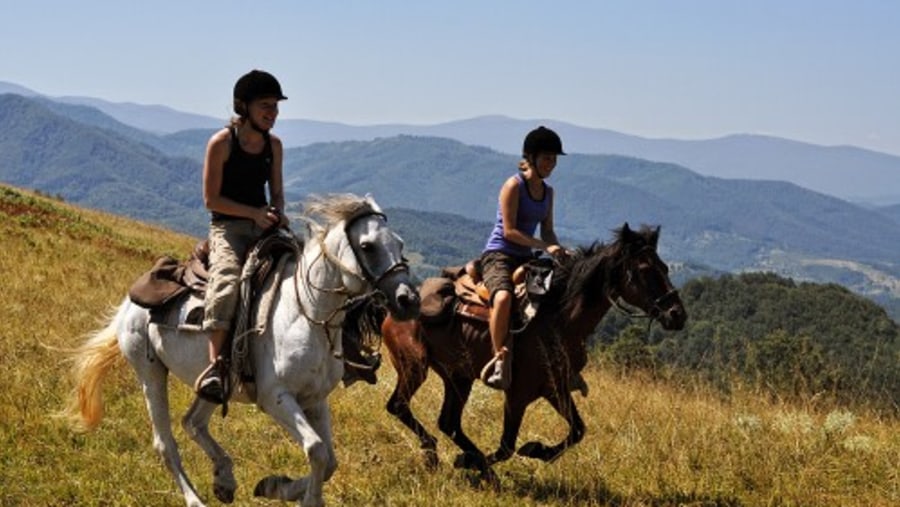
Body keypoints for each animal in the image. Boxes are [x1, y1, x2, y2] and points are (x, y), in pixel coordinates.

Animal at [63, 192, 422, 506]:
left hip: (214, 383)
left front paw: (274, 486)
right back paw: (196, 499)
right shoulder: (276, 398)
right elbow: (317, 450)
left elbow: (329, 461)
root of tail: (127, 305)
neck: (306, 312)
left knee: (193, 422)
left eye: (401, 244)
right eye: (367, 246)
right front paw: (299, 496)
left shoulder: (315, 399)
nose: (408, 300)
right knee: (166, 444)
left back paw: (224, 479)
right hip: (150, 373)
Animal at [382, 223, 688, 480]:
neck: (559, 321)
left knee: (449, 422)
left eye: (665, 267)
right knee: (399, 406)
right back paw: (438, 452)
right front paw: (472, 462)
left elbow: (578, 430)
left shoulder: (555, 388)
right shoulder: (518, 394)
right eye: (645, 269)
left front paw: (536, 451)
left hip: (458, 377)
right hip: (415, 366)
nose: (677, 314)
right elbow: (506, 446)